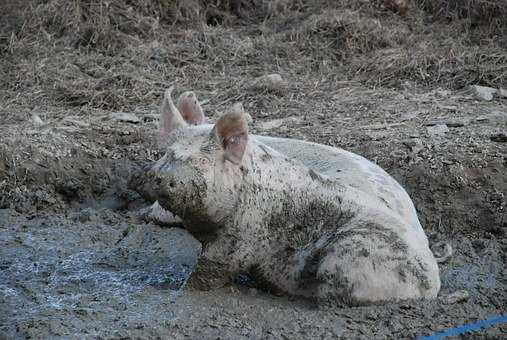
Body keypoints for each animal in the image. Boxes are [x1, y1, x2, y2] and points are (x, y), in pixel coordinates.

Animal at [131, 87, 440, 306]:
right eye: (166, 154)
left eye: (203, 162)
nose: (161, 177)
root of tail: (432, 283)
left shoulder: (243, 236)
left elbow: (210, 268)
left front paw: (179, 291)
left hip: (351, 257)